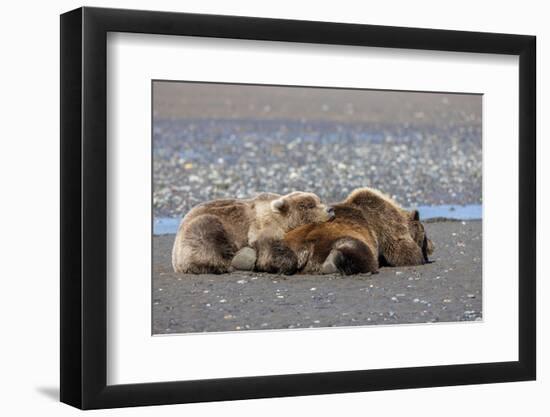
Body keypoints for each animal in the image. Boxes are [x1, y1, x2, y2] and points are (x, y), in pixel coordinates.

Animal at [172, 191, 336, 274]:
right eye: (309, 205)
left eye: (319, 200)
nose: (330, 209)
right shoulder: (262, 226)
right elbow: (269, 248)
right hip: (203, 227)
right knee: (208, 236)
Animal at [284, 188, 436, 274]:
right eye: (425, 237)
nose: (432, 245)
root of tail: (304, 248)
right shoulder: (386, 223)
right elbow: (402, 250)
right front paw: (418, 257)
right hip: (332, 240)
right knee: (359, 250)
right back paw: (332, 262)